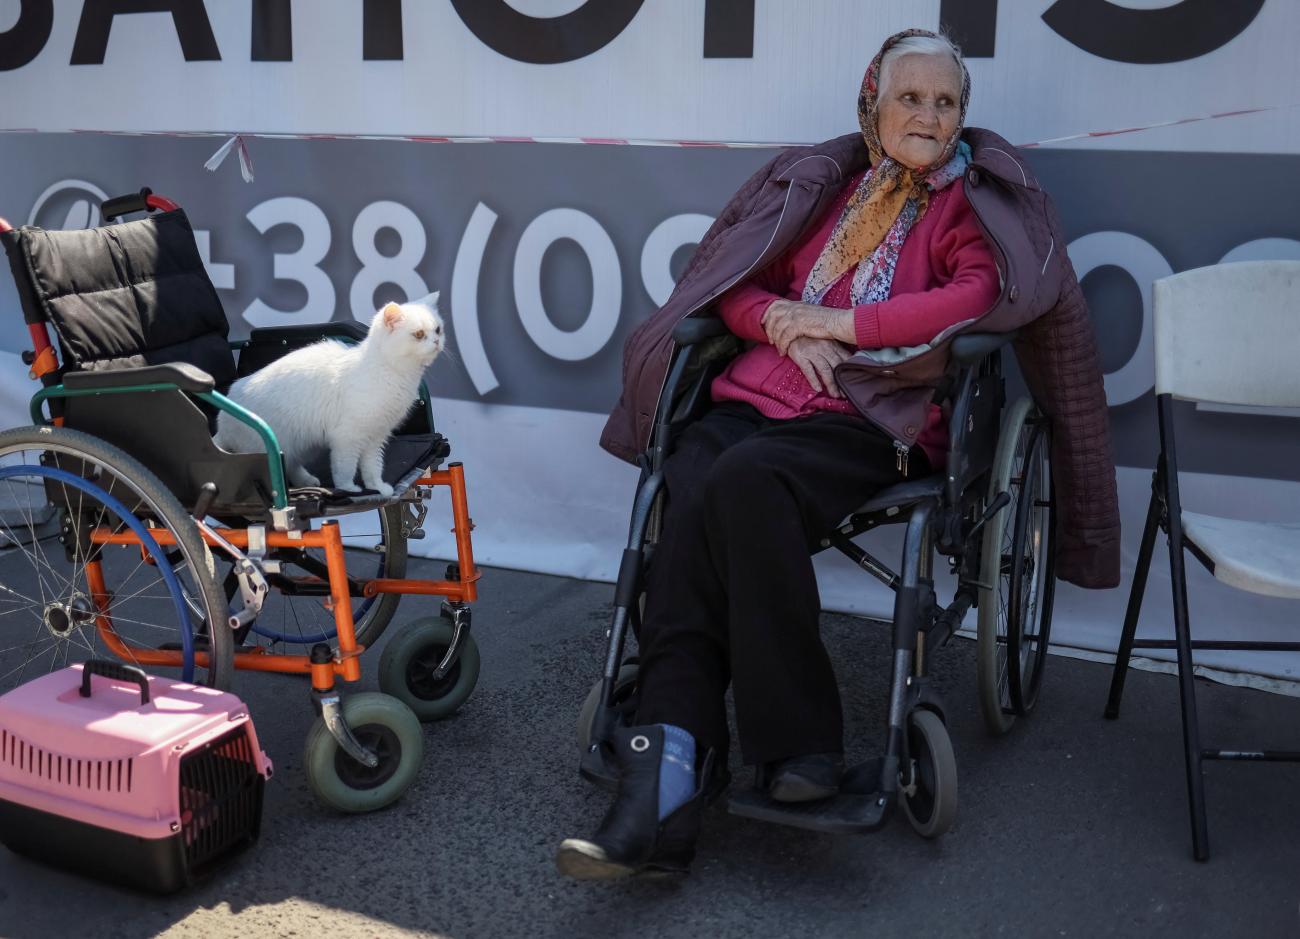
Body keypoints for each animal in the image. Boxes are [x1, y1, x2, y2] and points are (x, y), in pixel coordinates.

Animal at [215, 292, 444, 496]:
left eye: (438, 330)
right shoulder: (348, 436)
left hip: (301, 444)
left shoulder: (376, 438)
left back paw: (307, 481)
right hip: (274, 446)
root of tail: (222, 422)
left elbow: (372, 467)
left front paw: (377, 487)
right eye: (419, 334)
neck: (391, 371)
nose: (436, 342)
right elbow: (345, 467)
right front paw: (347, 488)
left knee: (290, 465)